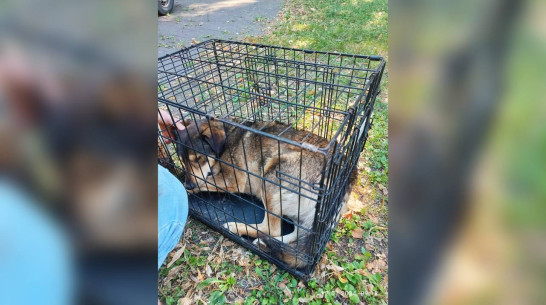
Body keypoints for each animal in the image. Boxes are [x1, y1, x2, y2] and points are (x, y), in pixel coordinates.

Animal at [166, 117, 354, 266]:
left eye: (198, 159)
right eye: (182, 159)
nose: (190, 185)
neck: (226, 139)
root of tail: (345, 182)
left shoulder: (232, 180)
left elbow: (200, 182)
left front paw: (182, 189)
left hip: (271, 172)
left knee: (272, 229)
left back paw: (237, 227)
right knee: (294, 236)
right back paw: (268, 245)